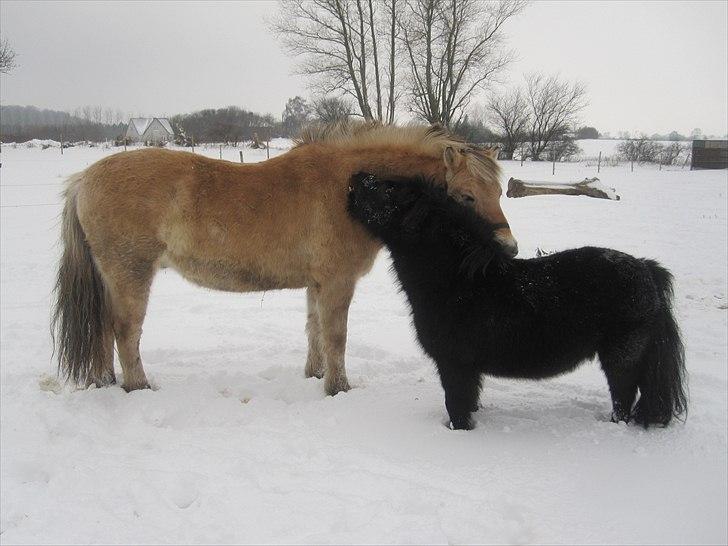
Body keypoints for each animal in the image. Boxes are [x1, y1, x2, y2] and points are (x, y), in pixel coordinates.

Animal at [52, 122, 516, 396]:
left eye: (499, 191)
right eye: (467, 196)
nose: (509, 247)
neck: (351, 189)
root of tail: (84, 179)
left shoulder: (317, 283)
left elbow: (314, 331)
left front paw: (315, 376)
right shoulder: (337, 282)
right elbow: (335, 337)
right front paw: (338, 388)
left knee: (102, 331)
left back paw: (103, 381)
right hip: (130, 274)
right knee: (124, 332)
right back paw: (138, 386)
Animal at [348, 172, 688, 428]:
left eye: (389, 189)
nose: (356, 176)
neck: (459, 282)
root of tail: (645, 269)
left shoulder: (455, 365)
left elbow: (457, 405)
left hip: (622, 358)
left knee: (624, 397)